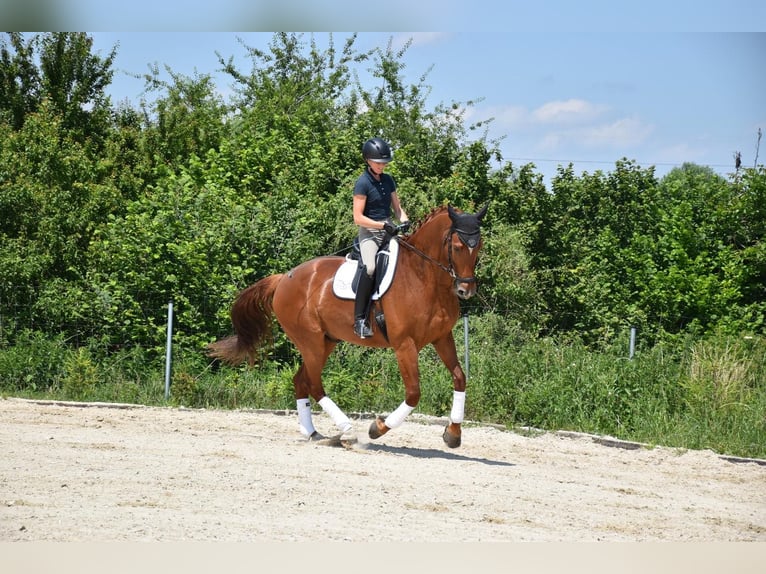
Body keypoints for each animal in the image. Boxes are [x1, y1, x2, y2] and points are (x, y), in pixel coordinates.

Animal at [207, 204, 488, 450]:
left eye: (479, 246)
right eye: (457, 246)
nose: (466, 289)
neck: (424, 277)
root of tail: (284, 277)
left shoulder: (442, 337)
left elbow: (460, 378)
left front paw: (453, 434)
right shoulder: (404, 345)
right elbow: (413, 393)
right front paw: (377, 428)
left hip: (325, 341)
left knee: (301, 381)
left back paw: (313, 433)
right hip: (310, 341)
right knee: (314, 385)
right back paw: (347, 431)